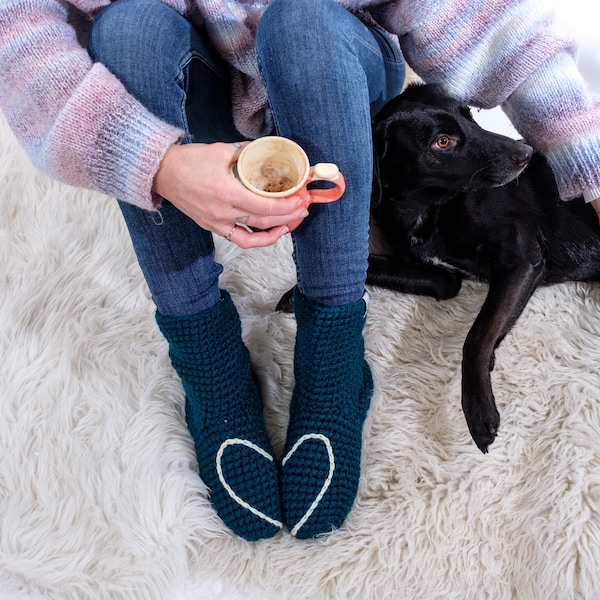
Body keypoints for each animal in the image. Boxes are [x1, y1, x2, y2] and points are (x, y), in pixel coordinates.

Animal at [368, 83, 600, 450]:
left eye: (471, 116)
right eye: (442, 142)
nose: (527, 152)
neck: (429, 208)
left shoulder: (522, 261)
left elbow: (477, 334)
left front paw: (477, 406)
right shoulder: (441, 278)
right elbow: (372, 262)